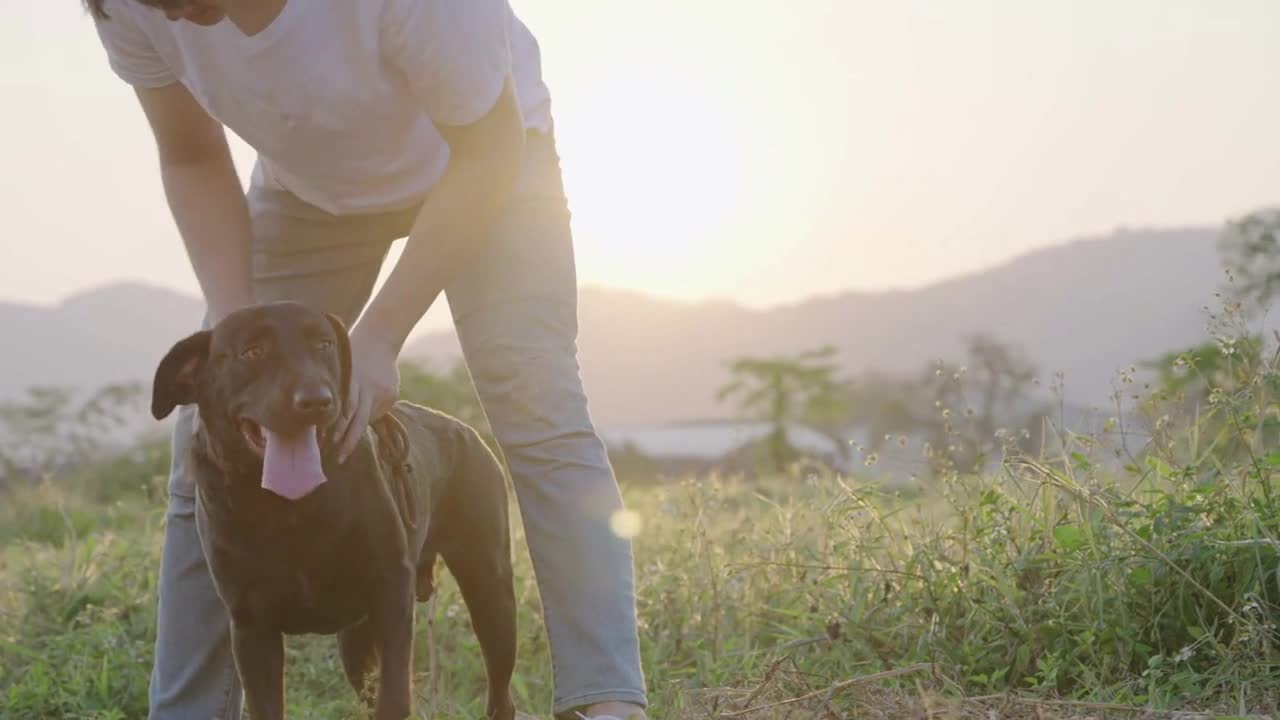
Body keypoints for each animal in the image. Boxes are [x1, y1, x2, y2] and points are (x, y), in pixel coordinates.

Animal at [146, 299, 514, 717]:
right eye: (252, 353)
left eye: (324, 345)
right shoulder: (251, 627)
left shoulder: (391, 596)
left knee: (501, 696)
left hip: (490, 589)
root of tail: (464, 429)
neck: (286, 508)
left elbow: (394, 697)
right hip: (355, 642)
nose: (316, 400)